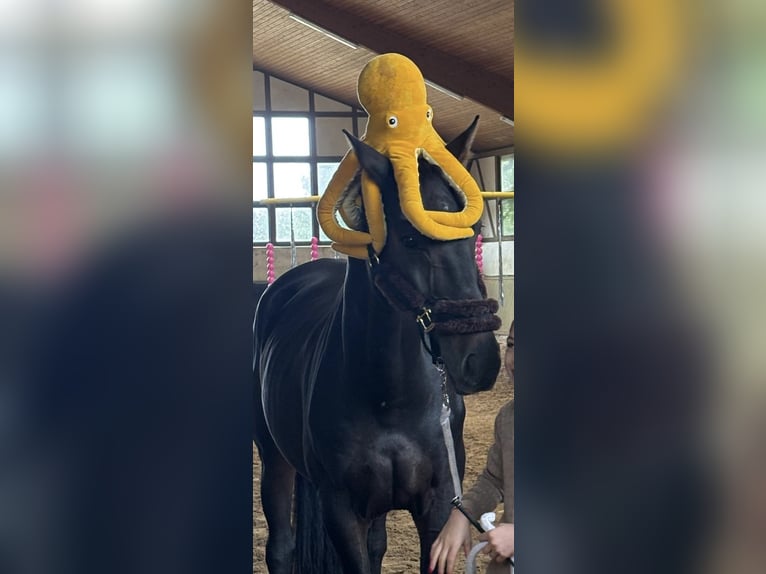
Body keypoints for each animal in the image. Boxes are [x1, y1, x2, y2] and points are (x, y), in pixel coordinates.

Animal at [253, 118, 501, 574]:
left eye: (474, 232)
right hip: (274, 459)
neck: (391, 399)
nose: (481, 361)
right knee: (280, 547)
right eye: (410, 239)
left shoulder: (438, 507)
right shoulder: (343, 511)